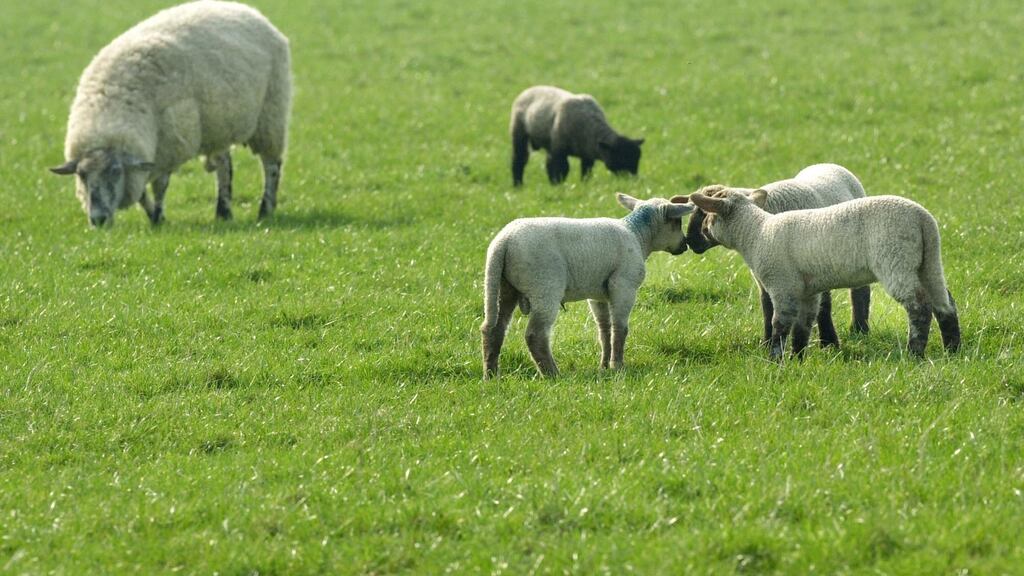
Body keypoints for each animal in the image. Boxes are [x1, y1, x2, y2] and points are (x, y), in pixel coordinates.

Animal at [50, 0, 291, 227]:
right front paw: (152, 215)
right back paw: (223, 213)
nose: (98, 219)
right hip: (217, 125)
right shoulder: (145, 156)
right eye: (81, 175)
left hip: (271, 114)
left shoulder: (168, 147)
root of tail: (244, 8)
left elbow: (160, 186)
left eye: (116, 171)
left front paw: (158, 218)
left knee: (271, 165)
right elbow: (141, 192)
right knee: (224, 165)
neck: (111, 105)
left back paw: (265, 210)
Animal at [480, 194, 693, 378]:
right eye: (677, 222)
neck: (638, 235)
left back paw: (491, 375)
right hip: (545, 286)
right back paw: (552, 375)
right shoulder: (624, 285)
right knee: (535, 335)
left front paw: (604, 366)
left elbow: (604, 330)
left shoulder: (598, 294)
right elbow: (620, 329)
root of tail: (503, 241)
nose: (685, 245)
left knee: (494, 329)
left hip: (503, 287)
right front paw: (618, 366)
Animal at [510, 86, 644, 186]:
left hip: (550, 142)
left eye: (637, 160)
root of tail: (529, 89)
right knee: (520, 158)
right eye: (620, 158)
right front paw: (559, 186)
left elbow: (586, 171)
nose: (633, 180)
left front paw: (584, 184)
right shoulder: (560, 149)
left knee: (547, 161)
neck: (590, 128)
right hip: (519, 131)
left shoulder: (587, 153)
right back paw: (518, 185)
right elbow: (562, 168)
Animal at [678, 164, 872, 347]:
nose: (690, 241)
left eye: (706, 212)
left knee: (860, 292)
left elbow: (824, 307)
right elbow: (767, 308)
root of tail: (827, 163)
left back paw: (859, 328)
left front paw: (829, 343)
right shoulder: (767, 278)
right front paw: (766, 343)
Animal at [684, 190, 961, 359]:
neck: (757, 233)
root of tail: (924, 219)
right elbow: (803, 326)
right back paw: (952, 349)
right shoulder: (807, 291)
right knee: (945, 302)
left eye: (708, 215)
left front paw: (775, 361)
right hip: (927, 263)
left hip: (896, 260)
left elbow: (780, 324)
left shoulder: (782, 285)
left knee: (919, 306)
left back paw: (915, 353)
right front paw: (797, 359)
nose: (700, 235)